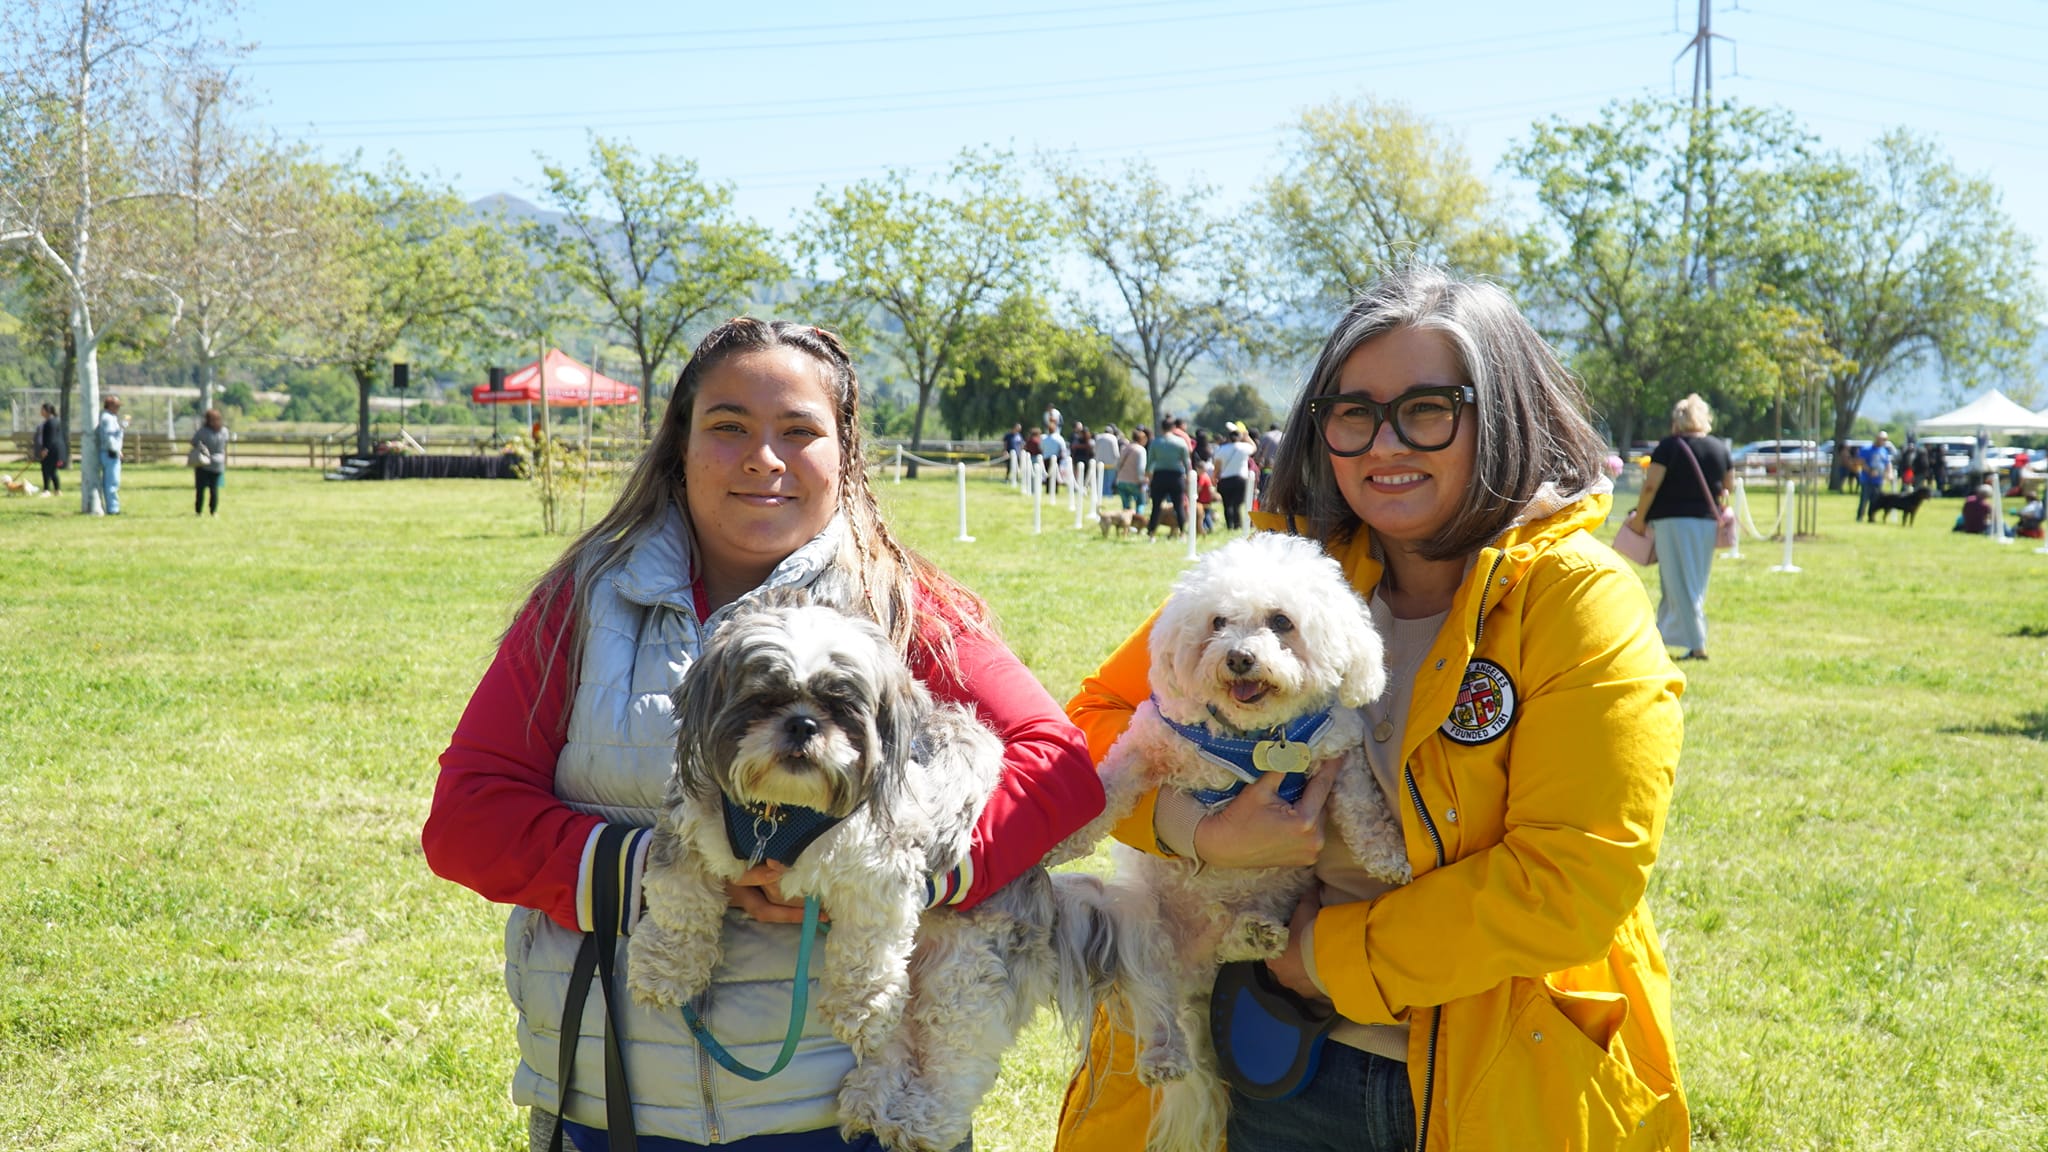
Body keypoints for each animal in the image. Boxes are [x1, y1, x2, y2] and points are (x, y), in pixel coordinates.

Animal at [1056, 532, 1409, 1147]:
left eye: (1282, 621)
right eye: (1218, 621)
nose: (1239, 657)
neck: (1256, 737)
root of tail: (1193, 970)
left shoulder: (1340, 752)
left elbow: (1363, 806)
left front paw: (1385, 855)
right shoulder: (1149, 743)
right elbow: (1110, 786)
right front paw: (1070, 831)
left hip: (1263, 907)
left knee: (1231, 946)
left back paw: (1254, 934)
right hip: (1139, 924)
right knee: (1156, 1002)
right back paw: (1164, 1057)